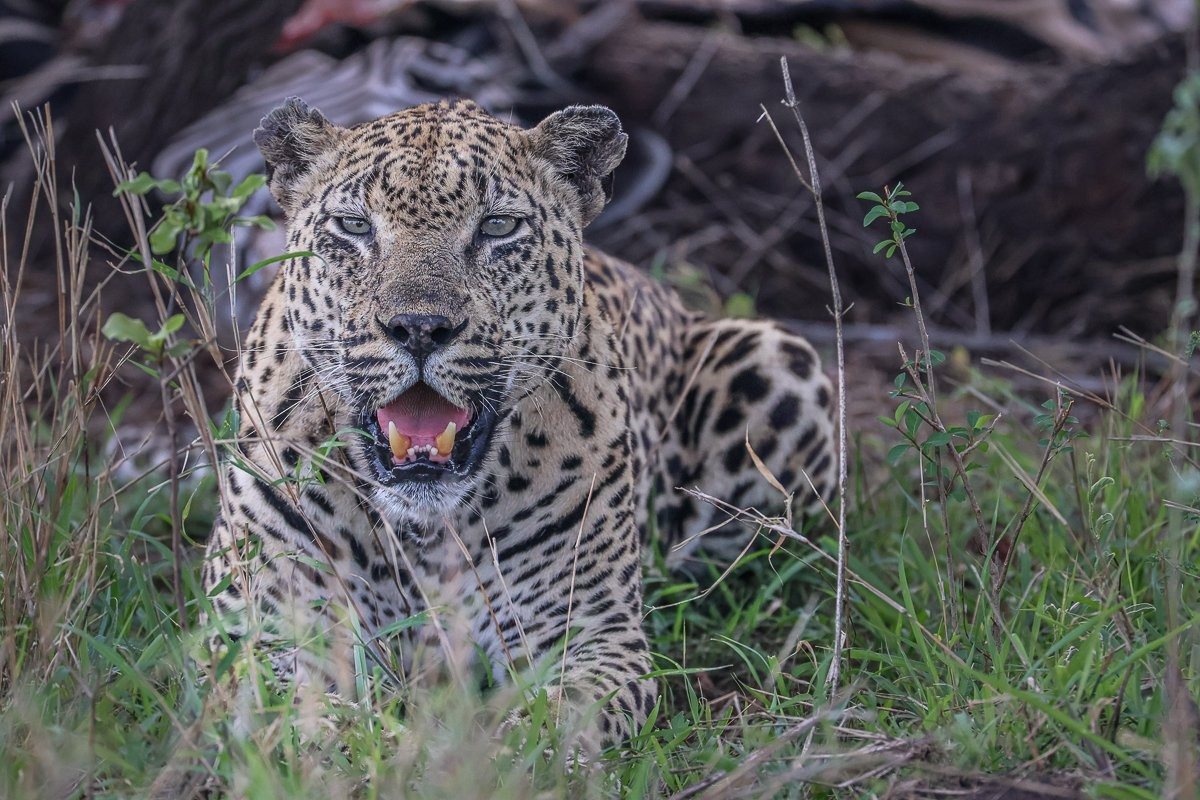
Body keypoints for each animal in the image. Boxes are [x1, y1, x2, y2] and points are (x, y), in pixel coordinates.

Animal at [202, 96, 836, 752]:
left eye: (498, 227)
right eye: (354, 227)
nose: (419, 327)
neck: (424, 531)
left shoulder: (595, 634)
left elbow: (556, 720)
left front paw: (497, 753)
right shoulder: (261, 633)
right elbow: (293, 714)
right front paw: (358, 744)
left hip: (778, 361)